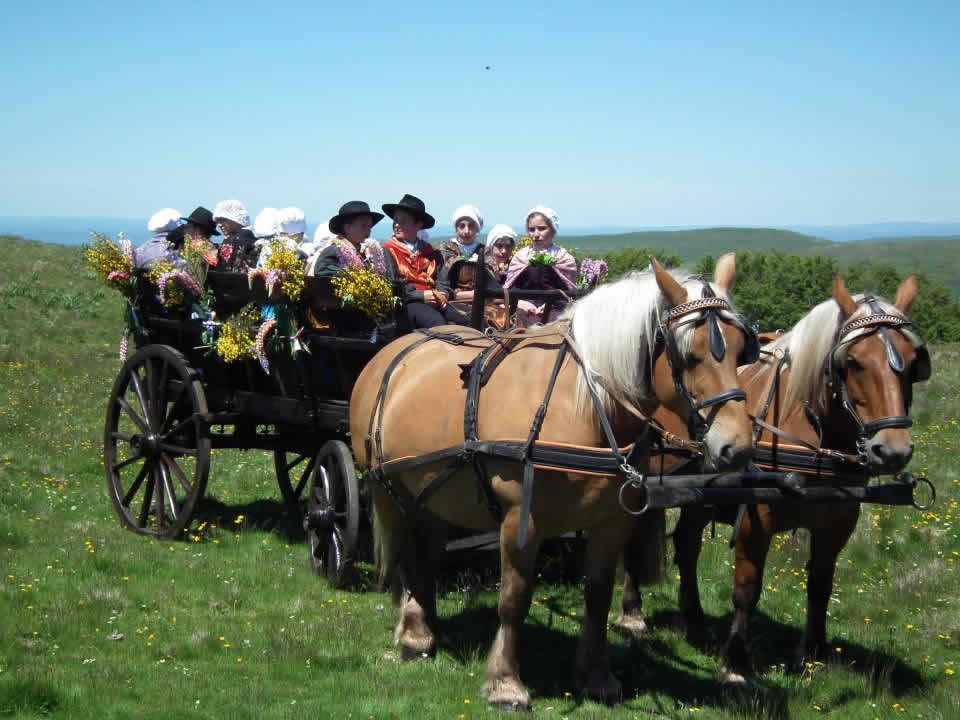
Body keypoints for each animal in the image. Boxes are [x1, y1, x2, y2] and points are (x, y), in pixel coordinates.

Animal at [352, 255, 756, 708]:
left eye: (740, 349)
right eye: (688, 354)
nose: (736, 446)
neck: (583, 405)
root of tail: (394, 350)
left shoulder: (611, 520)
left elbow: (598, 595)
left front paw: (596, 676)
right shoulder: (521, 521)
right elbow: (514, 599)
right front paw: (505, 683)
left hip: (432, 494)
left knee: (426, 554)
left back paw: (426, 627)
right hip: (387, 491)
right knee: (408, 555)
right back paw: (413, 636)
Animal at [620, 272, 928, 684]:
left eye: (912, 363)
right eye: (853, 362)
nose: (893, 450)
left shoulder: (840, 521)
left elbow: (820, 585)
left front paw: (813, 654)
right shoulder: (756, 518)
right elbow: (747, 588)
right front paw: (737, 663)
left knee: (687, 544)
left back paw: (696, 622)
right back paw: (632, 610)